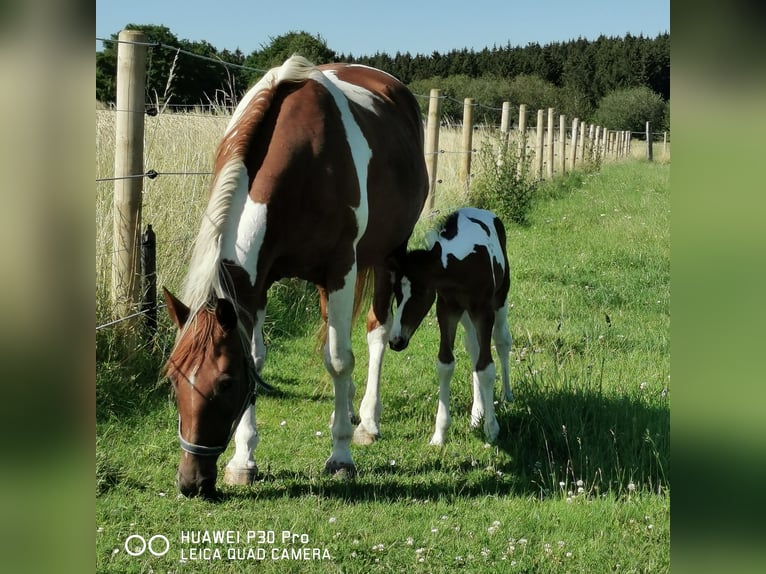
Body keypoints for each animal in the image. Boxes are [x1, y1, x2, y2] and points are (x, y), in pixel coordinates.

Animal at [162, 56, 428, 498]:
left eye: (226, 384)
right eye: (173, 378)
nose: (191, 483)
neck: (305, 160)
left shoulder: (340, 268)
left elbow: (338, 359)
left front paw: (340, 457)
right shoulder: (256, 285)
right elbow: (258, 358)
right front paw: (243, 460)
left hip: (387, 253)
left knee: (375, 331)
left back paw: (367, 421)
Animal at [388, 208, 513, 445]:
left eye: (420, 292)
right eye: (397, 293)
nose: (396, 340)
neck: (462, 264)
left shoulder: (484, 311)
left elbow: (486, 367)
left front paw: (492, 429)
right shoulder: (447, 309)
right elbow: (446, 364)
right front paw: (439, 434)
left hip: (500, 301)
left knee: (502, 342)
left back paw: (506, 395)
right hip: (466, 315)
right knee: (473, 349)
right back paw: (477, 412)